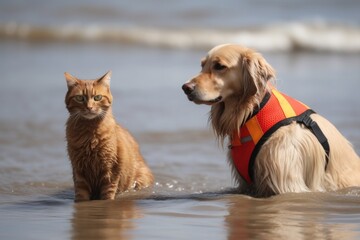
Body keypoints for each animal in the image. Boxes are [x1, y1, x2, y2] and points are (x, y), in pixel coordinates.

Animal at [64, 71, 153, 201]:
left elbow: (107, 195)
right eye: (80, 98)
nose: (89, 107)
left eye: (98, 97)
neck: (89, 134)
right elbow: (81, 195)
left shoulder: (110, 170)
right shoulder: (79, 171)